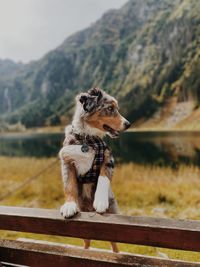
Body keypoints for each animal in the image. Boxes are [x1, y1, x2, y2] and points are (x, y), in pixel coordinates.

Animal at [58, 88, 130, 253]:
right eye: (110, 108)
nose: (128, 124)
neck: (88, 139)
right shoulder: (66, 160)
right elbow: (69, 185)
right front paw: (69, 206)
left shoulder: (108, 158)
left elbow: (103, 179)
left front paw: (100, 202)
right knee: (87, 241)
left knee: (114, 245)